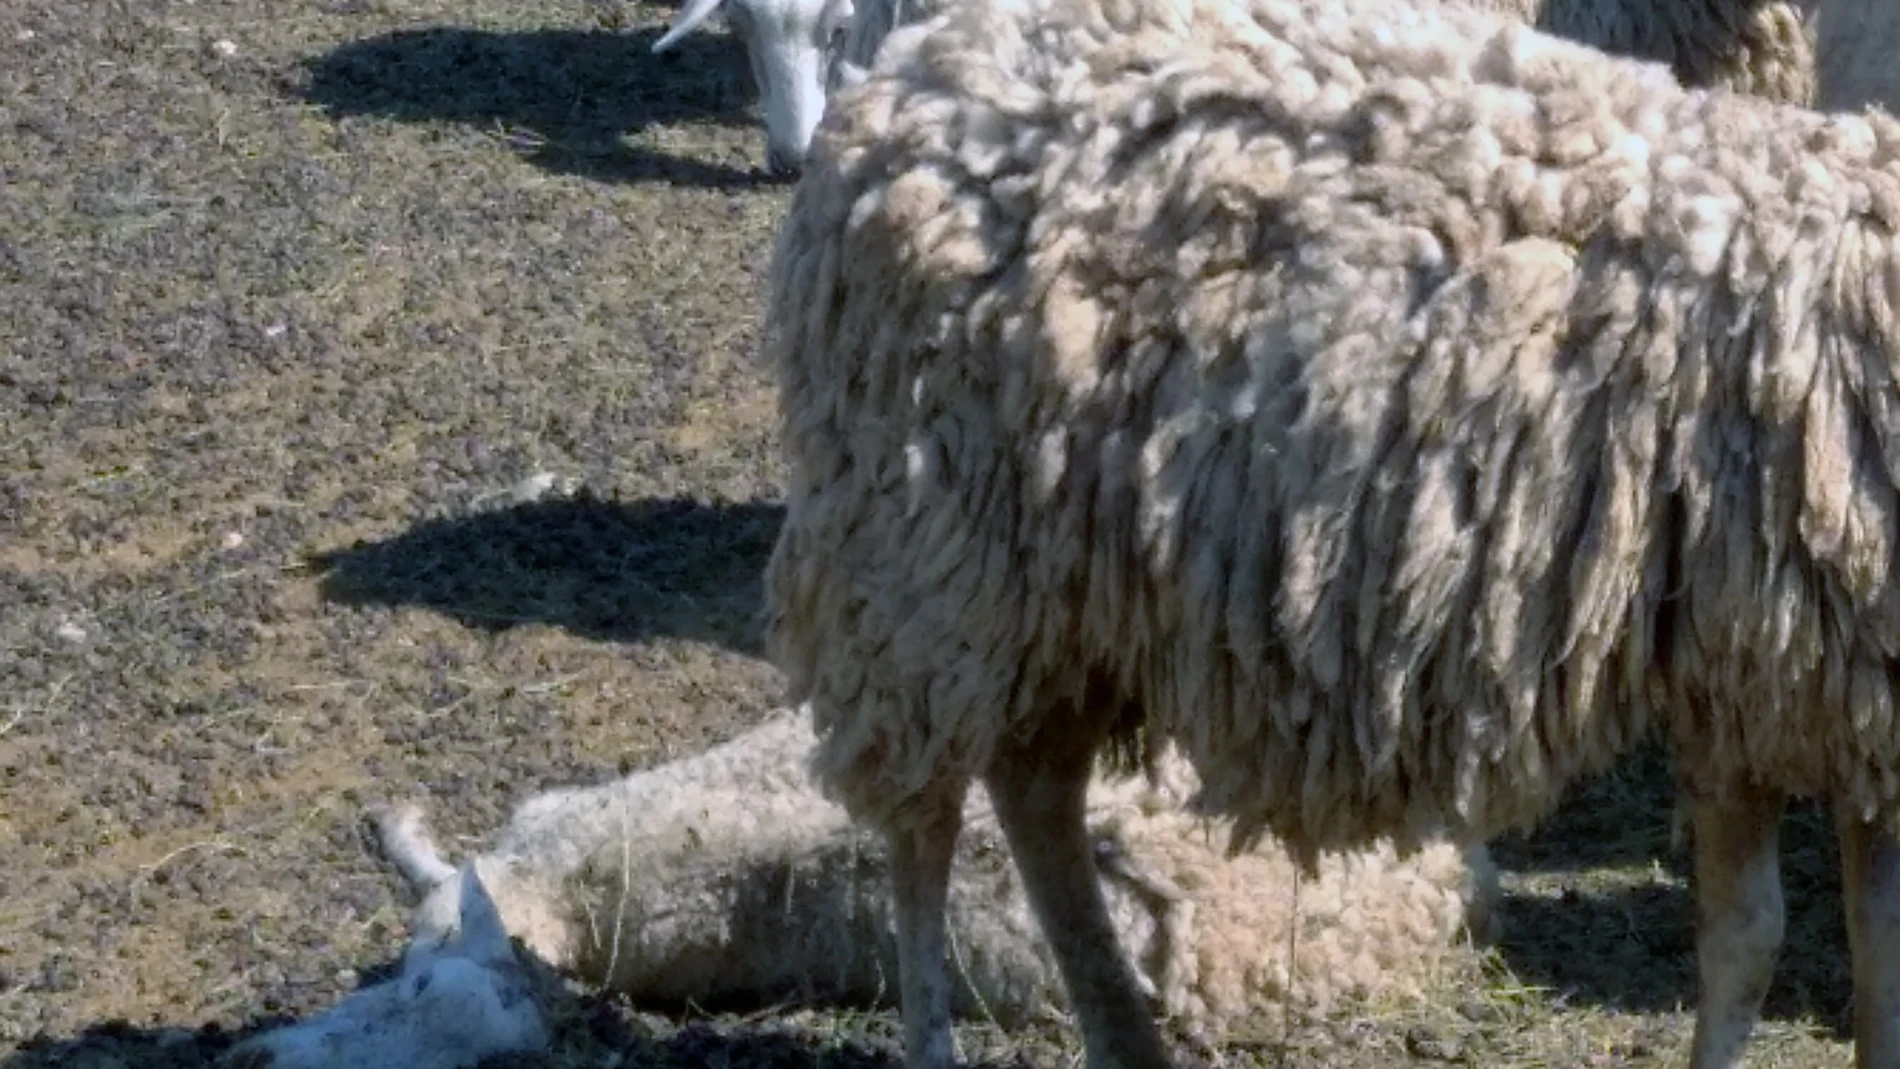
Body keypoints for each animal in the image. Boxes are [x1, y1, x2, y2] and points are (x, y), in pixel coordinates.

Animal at [756, 2, 1900, 1069]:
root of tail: (908, 74)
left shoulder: (1836, 708)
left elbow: (1869, 948)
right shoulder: (1744, 678)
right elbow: (1747, 941)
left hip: (1054, 585)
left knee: (1035, 788)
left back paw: (1123, 1030)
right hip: (923, 553)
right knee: (925, 823)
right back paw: (938, 1031)